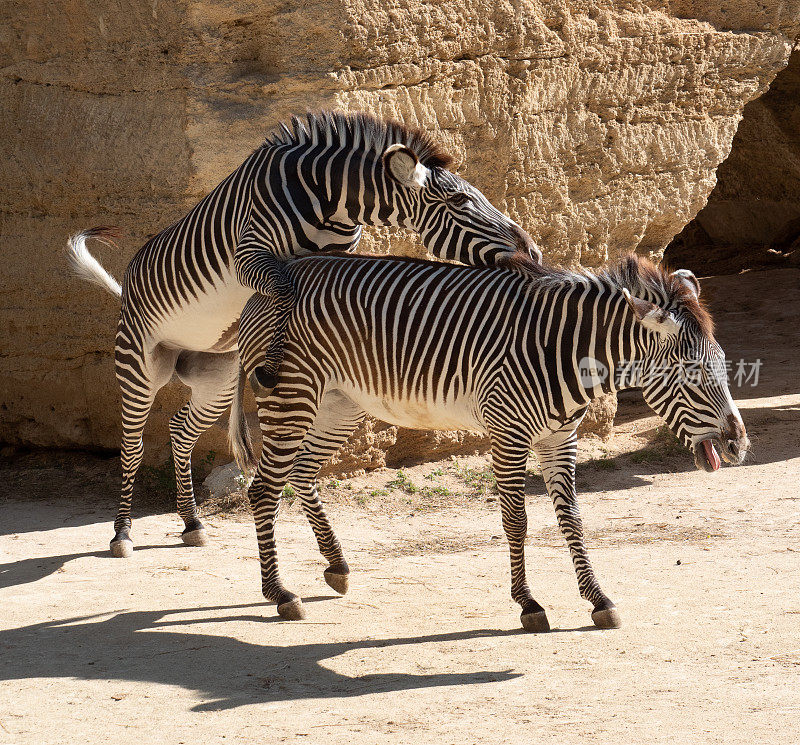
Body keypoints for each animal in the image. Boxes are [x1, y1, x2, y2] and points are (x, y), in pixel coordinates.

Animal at [65, 112, 536, 560]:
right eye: (460, 200)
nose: (532, 250)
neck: (328, 200)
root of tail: (127, 285)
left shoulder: (331, 260)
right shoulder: (250, 254)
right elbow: (287, 291)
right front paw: (276, 357)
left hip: (216, 375)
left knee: (181, 429)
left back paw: (192, 522)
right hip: (140, 364)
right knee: (132, 446)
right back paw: (122, 534)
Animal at [230, 253, 752, 632]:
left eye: (724, 362)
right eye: (692, 371)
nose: (738, 447)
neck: (564, 352)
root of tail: (270, 283)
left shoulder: (561, 439)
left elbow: (573, 519)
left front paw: (598, 599)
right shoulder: (509, 436)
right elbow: (517, 523)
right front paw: (529, 604)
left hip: (341, 405)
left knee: (301, 473)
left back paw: (336, 567)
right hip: (292, 395)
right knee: (264, 489)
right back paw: (280, 594)